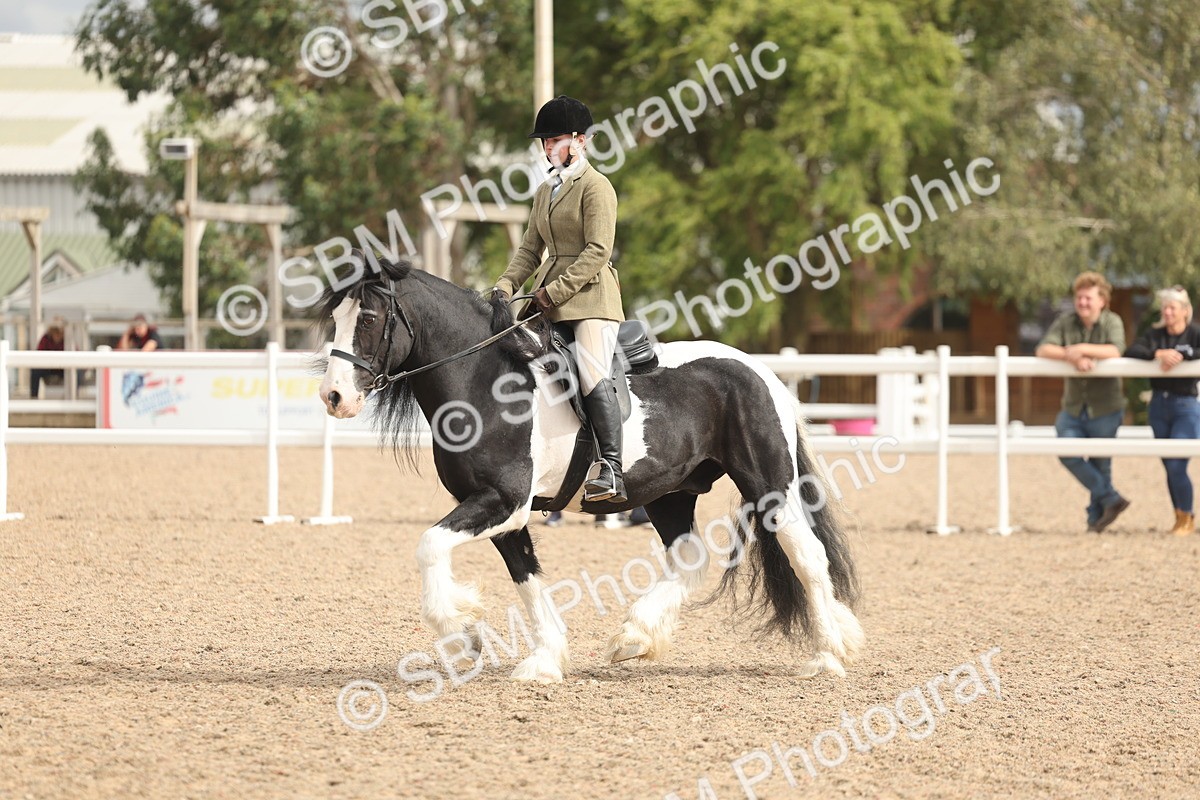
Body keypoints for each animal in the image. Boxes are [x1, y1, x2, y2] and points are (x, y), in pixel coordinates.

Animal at [316, 256, 863, 683]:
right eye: (336, 317)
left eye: (368, 317)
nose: (334, 396)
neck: (484, 383)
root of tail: (761, 371)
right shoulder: (503, 514)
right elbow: (525, 576)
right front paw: (541, 659)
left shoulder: (503, 502)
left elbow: (429, 545)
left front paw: (461, 636)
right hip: (668, 494)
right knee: (690, 559)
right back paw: (634, 637)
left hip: (770, 488)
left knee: (808, 556)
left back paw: (827, 656)